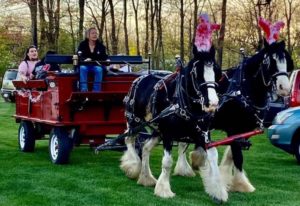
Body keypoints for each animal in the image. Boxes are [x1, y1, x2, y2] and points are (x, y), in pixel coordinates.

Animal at [119, 45, 227, 201]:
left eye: (217, 72)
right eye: (197, 74)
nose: (212, 103)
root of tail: (139, 78)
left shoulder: (203, 133)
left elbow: (213, 156)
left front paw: (218, 191)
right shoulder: (168, 134)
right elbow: (167, 162)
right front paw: (164, 190)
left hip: (157, 130)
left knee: (145, 147)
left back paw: (147, 178)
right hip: (134, 122)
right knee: (129, 140)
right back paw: (133, 166)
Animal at [212, 40, 294, 193]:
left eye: (287, 61)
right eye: (269, 62)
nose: (284, 88)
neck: (242, 91)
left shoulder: (246, 130)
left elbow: (232, 154)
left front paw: (226, 178)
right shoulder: (233, 129)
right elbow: (237, 156)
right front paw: (242, 185)